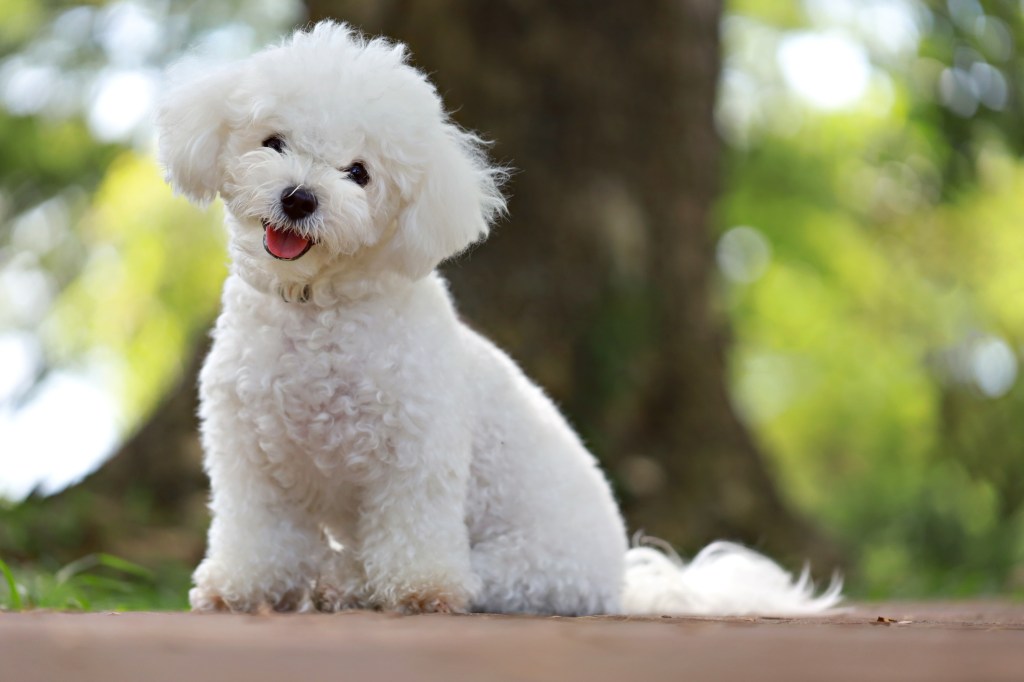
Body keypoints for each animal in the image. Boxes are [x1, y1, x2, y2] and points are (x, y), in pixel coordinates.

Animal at [153, 22, 839, 614]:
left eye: (359, 174)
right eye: (273, 142)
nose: (298, 199)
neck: (315, 309)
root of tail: (624, 581)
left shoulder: (416, 455)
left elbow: (414, 533)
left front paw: (418, 590)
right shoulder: (247, 459)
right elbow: (255, 532)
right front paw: (239, 586)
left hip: (523, 566)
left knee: (449, 574)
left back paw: (346, 581)